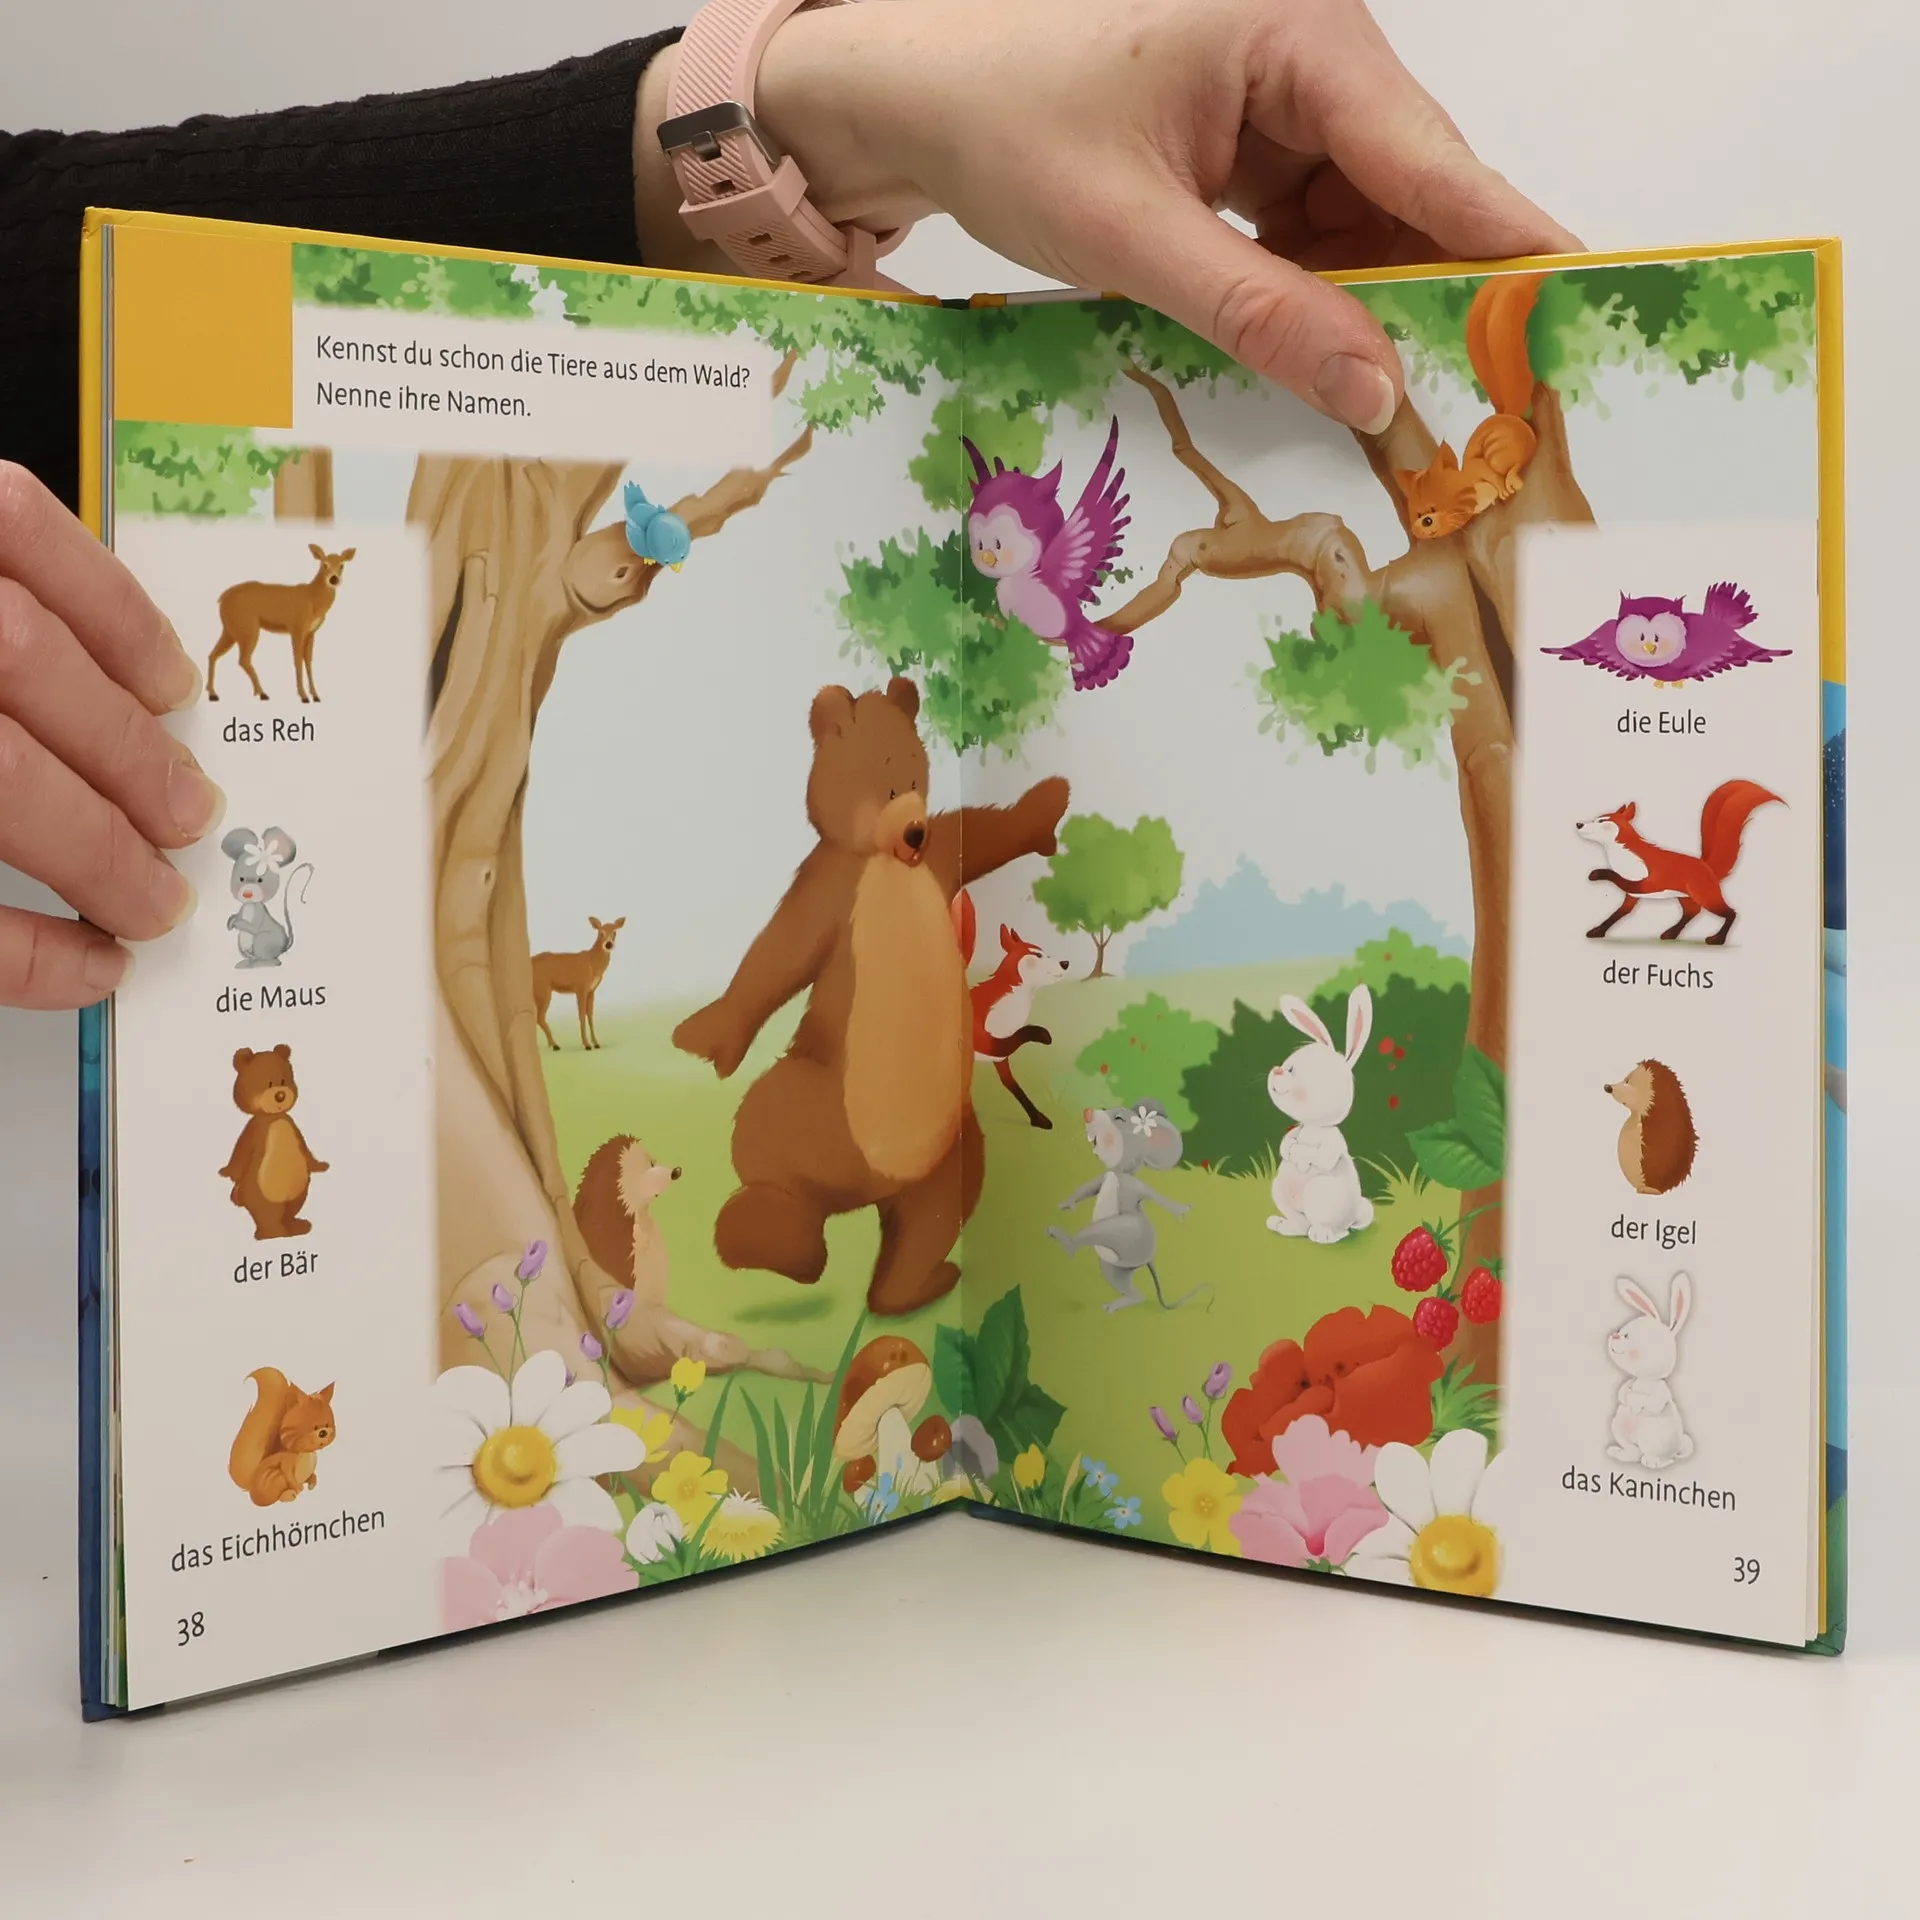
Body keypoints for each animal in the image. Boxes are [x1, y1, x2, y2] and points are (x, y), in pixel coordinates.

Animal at [228, 1367, 336, 1507]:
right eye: (314, 1427)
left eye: (328, 1424)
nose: (323, 1432)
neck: (305, 1453)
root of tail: (251, 1489)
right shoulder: (286, 1462)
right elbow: (289, 1475)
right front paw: (298, 1487)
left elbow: (311, 1475)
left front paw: (312, 1482)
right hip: (274, 1479)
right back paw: (288, 1495)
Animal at [1265, 985, 1374, 1245]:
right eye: (1289, 1065)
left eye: (1317, 1076)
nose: (1277, 1070)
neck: (1313, 1127)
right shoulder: (1297, 1130)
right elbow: (1286, 1143)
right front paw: (1291, 1149)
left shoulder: (1333, 1140)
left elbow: (1324, 1157)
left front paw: (1301, 1154)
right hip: (1280, 1189)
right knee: (1299, 1222)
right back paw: (1285, 1226)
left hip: (1321, 1195)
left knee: (1336, 1228)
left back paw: (1325, 1234)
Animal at [1396, 271, 1546, 540]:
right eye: (1413, 513)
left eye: (1429, 513)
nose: (1418, 530)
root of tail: (1511, 416)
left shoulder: (1479, 469)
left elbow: (1487, 472)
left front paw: (1501, 489)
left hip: (1500, 447)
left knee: (1521, 456)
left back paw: (1513, 478)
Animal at [1607, 1273, 1694, 1470]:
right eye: (1621, 1331)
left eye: (1627, 1336)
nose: (1614, 1335)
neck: (1644, 1379)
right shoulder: (1629, 1382)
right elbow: (1621, 1394)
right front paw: (1630, 1397)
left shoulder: (1661, 1390)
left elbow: (1653, 1403)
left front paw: (1636, 1401)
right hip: (1619, 1425)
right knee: (1633, 1450)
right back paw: (1622, 1453)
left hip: (1651, 1431)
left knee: (1664, 1457)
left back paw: (1653, 1461)